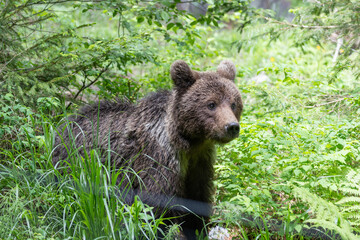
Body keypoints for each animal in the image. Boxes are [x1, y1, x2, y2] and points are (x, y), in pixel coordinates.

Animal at [52, 59, 243, 238]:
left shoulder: (198, 165)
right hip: (74, 165)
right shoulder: (158, 159)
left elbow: (196, 203)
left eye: (233, 103)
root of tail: (64, 124)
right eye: (211, 104)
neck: (189, 143)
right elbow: (155, 208)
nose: (232, 126)